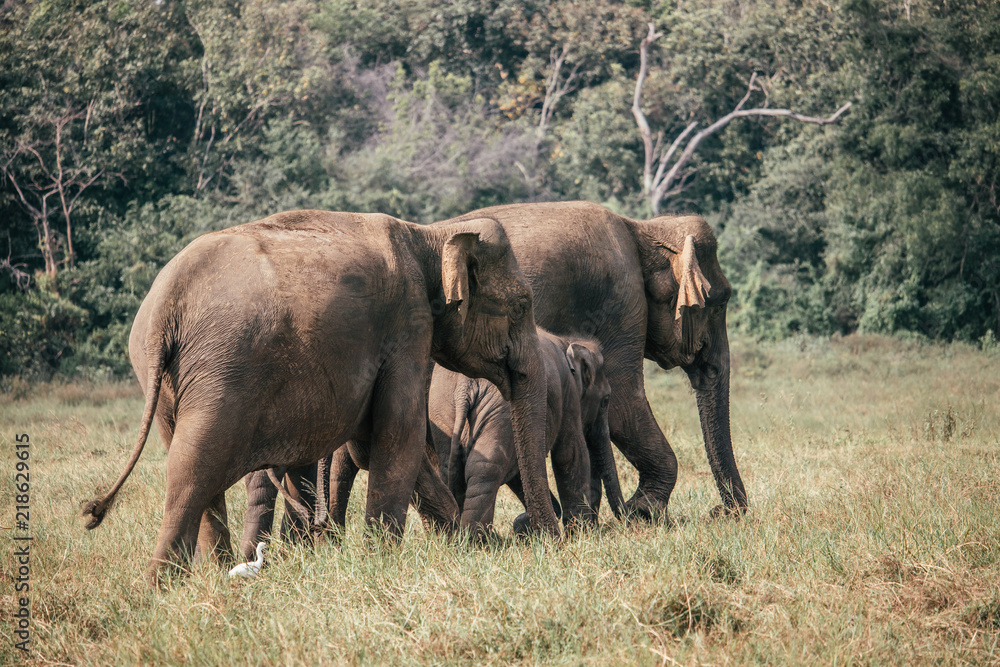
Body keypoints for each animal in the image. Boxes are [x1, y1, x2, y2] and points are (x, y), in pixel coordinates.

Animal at [80, 209, 560, 584]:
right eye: (520, 305)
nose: (549, 541)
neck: (430, 233)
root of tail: (166, 304)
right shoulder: (408, 328)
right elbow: (397, 434)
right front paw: (383, 562)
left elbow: (376, 438)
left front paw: (465, 546)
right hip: (224, 369)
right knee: (194, 466)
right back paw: (164, 586)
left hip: (167, 380)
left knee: (191, 464)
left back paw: (212, 574)